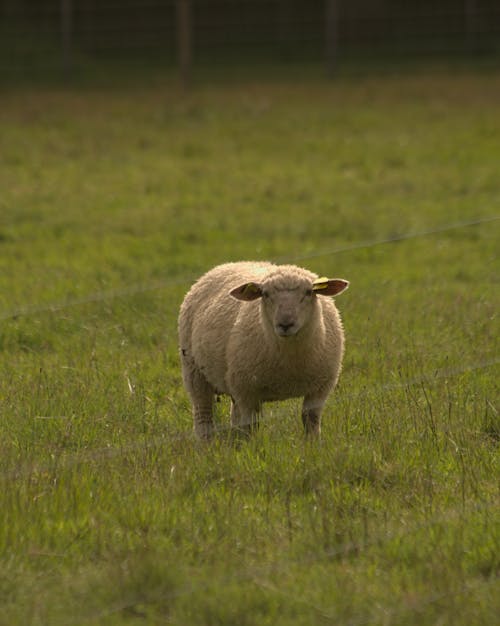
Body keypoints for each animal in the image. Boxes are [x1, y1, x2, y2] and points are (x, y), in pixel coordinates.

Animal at [179, 260, 348, 436]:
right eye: (265, 294)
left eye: (309, 292)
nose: (285, 324)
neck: (291, 361)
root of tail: (225, 265)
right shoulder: (247, 392)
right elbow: (251, 426)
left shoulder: (321, 388)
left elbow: (311, 421)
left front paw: (313, 442)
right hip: (194, 371)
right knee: (203, 415)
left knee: (234, 415)